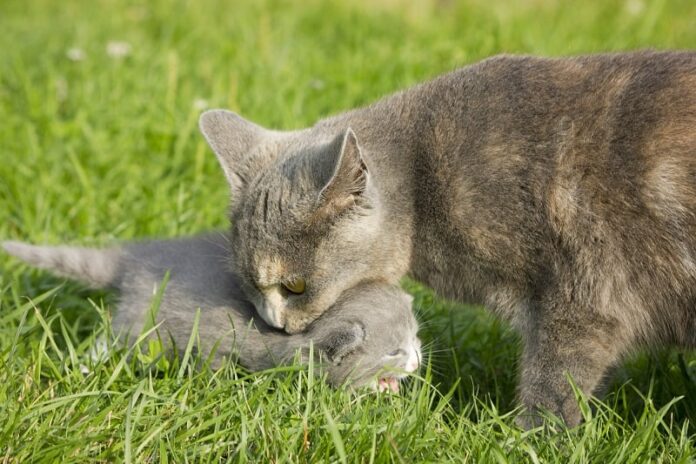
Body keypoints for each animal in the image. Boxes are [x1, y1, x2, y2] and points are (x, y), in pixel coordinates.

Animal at [2, 236, 422, 392]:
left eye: (416, 337)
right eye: (393, 352)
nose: (418, 362)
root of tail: (134, 258)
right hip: (140, 322)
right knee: (113, 336)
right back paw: (83, 366)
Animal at [196, 49, 696, 424]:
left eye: (295, 286)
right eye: (248, 285)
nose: (274, 324)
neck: (424, 186)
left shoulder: (584, 292)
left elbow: (554, 383)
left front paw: (527, 441)